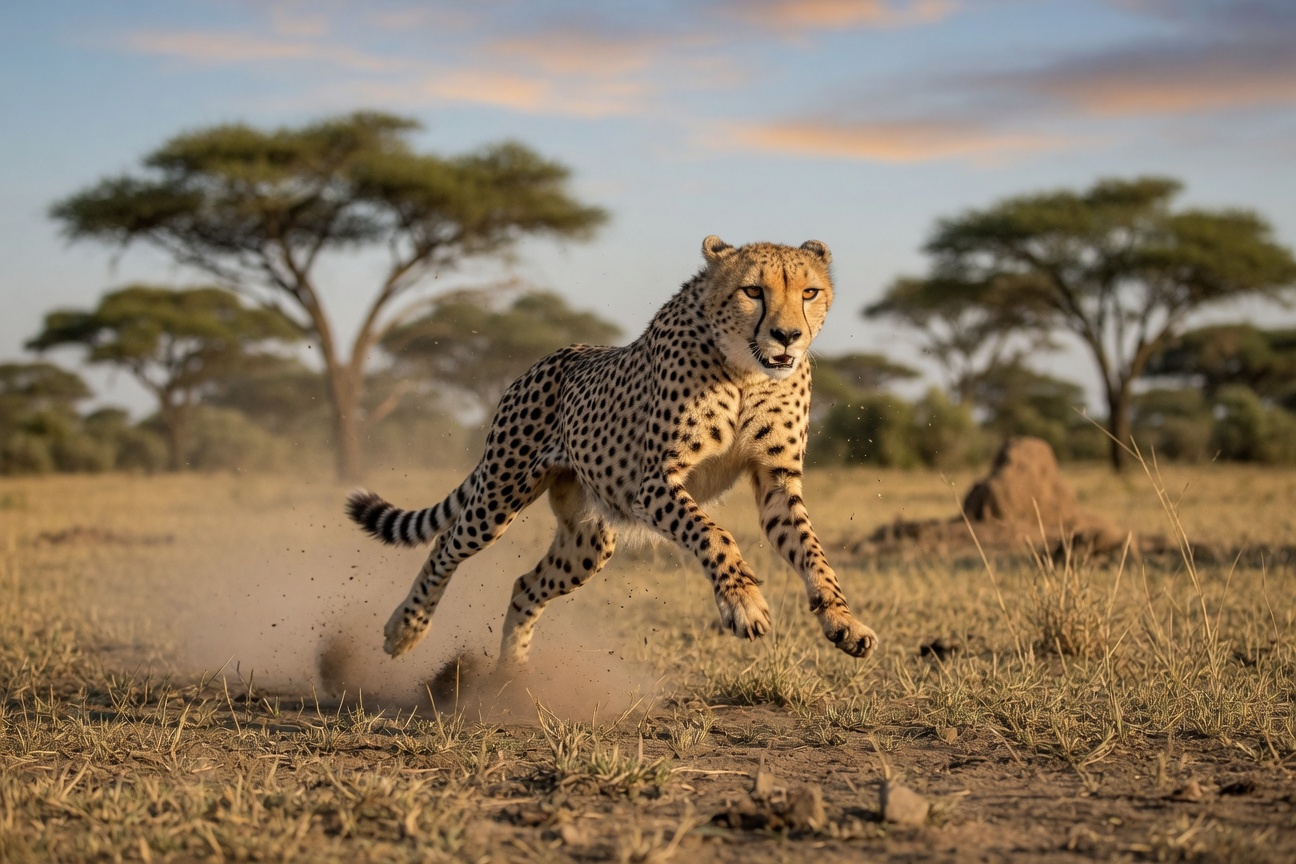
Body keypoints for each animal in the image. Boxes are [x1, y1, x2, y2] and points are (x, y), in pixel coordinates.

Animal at [346, 235, 878, 673]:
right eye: (753, 291)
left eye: (809, 293)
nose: (788, 336)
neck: (747, 369)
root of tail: (545, 359)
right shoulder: (655, 482)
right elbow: (715, 534)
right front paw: (743, 602)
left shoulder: (776, 479)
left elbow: (813, 551)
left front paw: (843, 620)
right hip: (499, 494)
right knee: (447, 542)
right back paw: (406, 629)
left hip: (588, 542)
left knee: (525, 585)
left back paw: (512, 680)